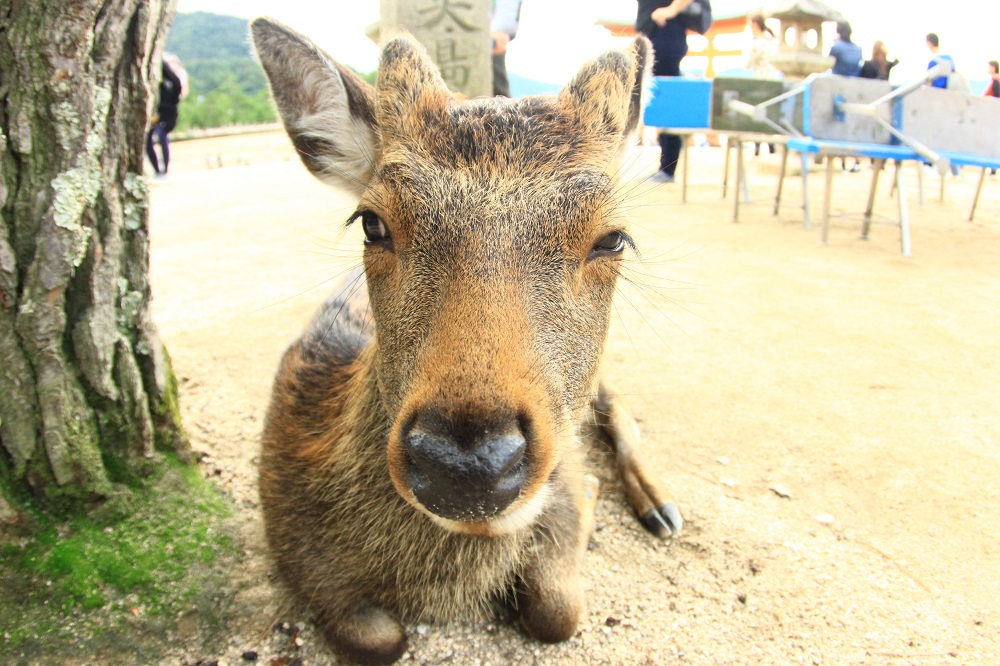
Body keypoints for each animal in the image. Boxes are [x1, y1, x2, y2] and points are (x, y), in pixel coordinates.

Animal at [254, 18, 684, 660]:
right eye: (372, 223)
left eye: (613, 238)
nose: (468, 464)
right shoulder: (294, 547)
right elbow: (379, 639)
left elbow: (560, 608)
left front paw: (585, 499)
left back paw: (660, 507)